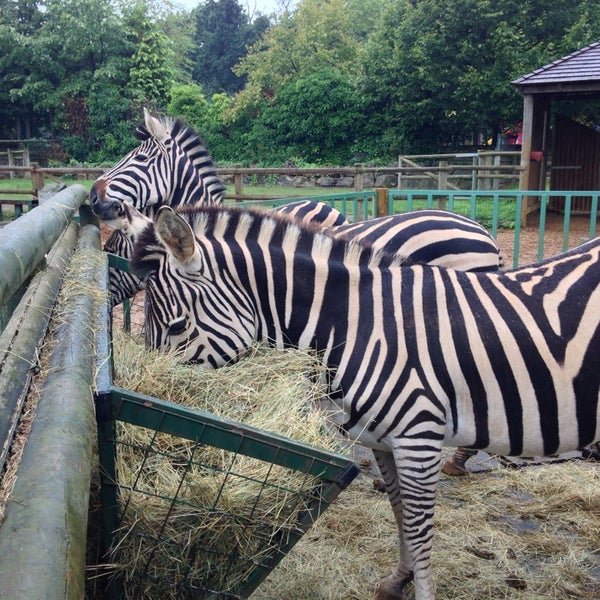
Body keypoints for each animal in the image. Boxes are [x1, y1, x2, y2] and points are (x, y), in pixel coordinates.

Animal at [129, 205, 600, 600]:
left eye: (176, 326)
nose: (148, 413)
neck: (359, 326)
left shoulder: (418, 438)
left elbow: (420, 527)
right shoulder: (381, 440)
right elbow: (398, 509)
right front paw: (397, 579)